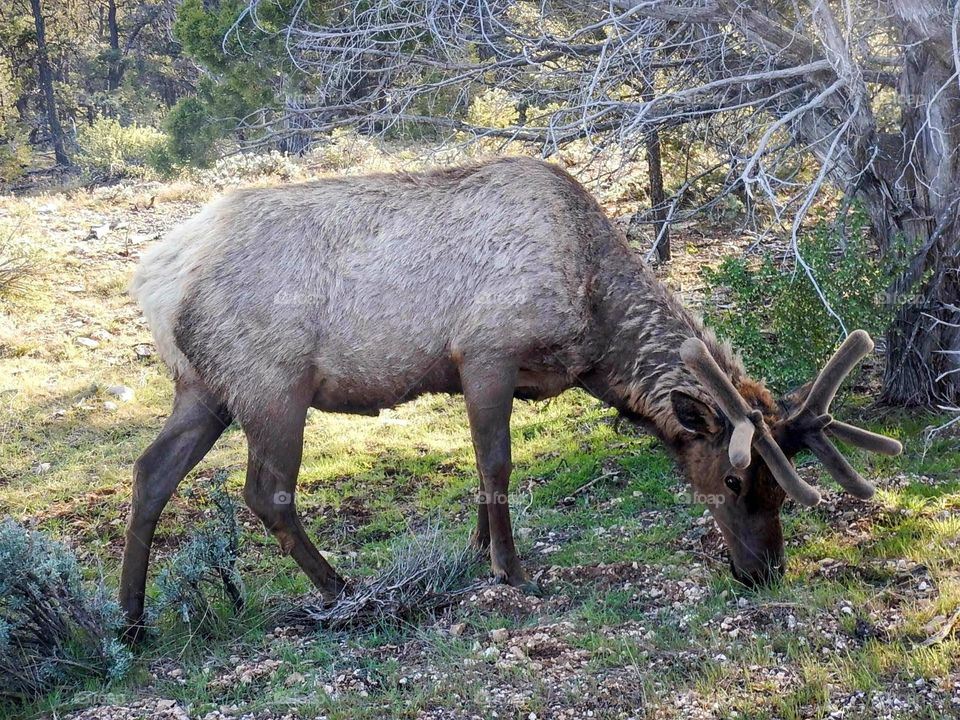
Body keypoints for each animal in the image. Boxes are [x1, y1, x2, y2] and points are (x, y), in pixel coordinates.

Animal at [118, 158, 900, 636]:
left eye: (777, 487)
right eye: (736, 479)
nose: (764, 572)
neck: (594, 325)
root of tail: (154, 278)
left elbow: (477, 471)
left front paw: (475, 553)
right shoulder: (486, 350)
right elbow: (497, 466)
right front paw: (511, 570)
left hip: (203, 388)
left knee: (151, 471)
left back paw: (131, 621)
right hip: (272, 383)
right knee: (267, 491)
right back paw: (343, 590)